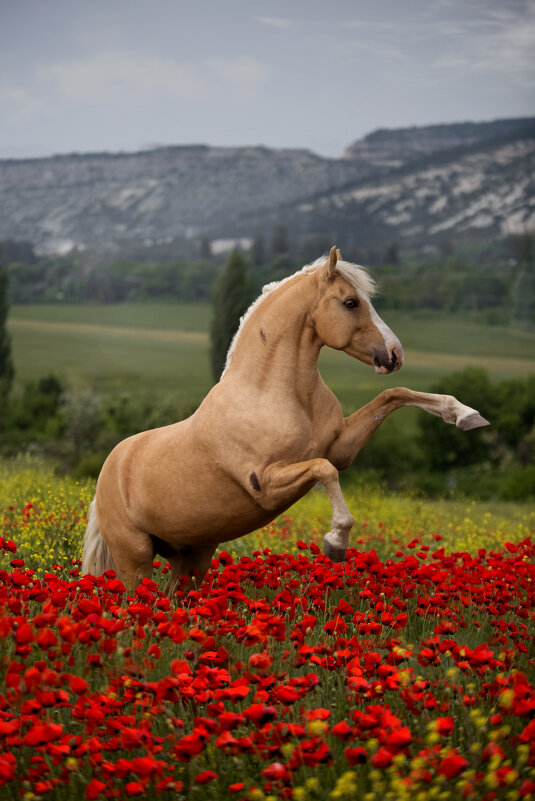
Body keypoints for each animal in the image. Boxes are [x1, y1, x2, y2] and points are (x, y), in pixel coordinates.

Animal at [80, 247, 490, 596]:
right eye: (351, 302)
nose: (393, 355)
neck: (273, 394)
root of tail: (107, 476)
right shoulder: (268, 483)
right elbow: (325, 470)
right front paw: (335, 543)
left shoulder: (341, 447)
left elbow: (394, 395)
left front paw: (466, 415)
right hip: (135, 560)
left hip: (192, 556)